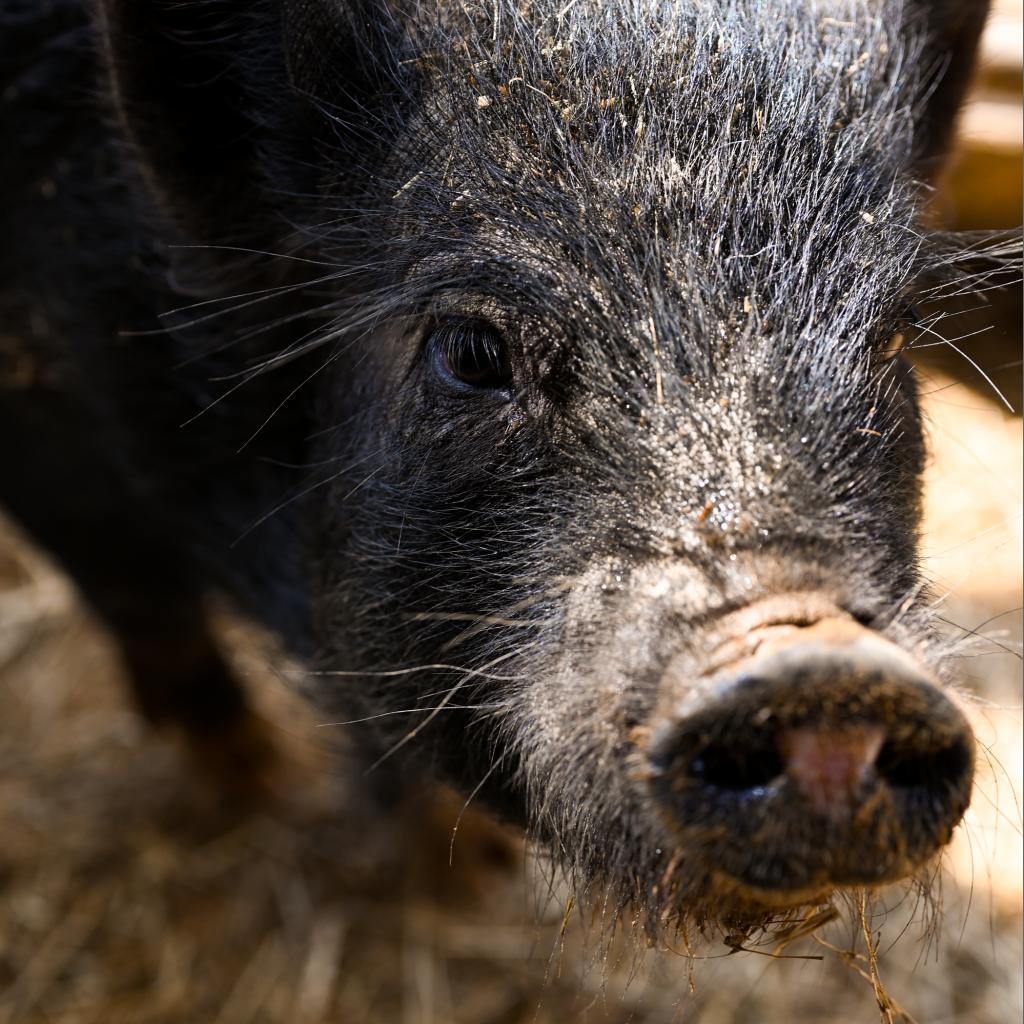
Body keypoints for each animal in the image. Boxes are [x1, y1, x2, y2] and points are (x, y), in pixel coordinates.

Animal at [0, 0, 1003, 934]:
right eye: (473, 351)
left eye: (892, 341)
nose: (820, 664)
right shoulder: (49, 443)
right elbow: (147, 608)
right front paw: (257, 799)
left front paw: (466, 878)